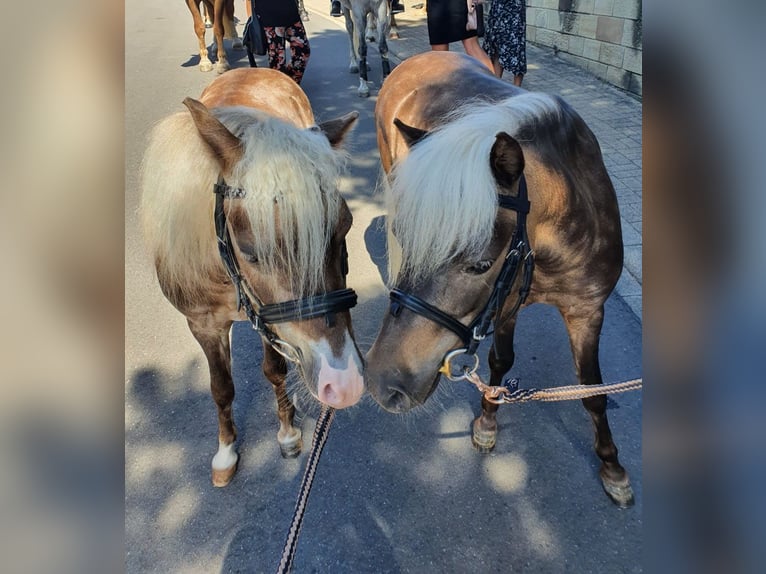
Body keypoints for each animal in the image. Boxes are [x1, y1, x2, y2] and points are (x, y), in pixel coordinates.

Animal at [140, 68, 362, 486]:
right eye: (250, 251)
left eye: (345, 227)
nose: (344, 384)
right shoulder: (203, 324)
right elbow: (221, 388)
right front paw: (226, 451)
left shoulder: (270, 320)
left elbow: (274, 371)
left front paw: (288, 433)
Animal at [366, 52, 634, 507]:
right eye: (405, 235)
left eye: (478, 264)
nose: (382, 381)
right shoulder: (506, 302)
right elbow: (499, 361)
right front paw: (488, 423)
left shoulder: (585, 309)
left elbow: (593, 391)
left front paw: (613, 468)